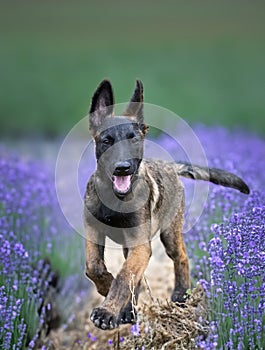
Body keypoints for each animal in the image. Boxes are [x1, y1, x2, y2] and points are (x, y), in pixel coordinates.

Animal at [83, 80, 249, 330]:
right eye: (107, 141)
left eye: (133, 139)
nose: (122, 168)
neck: (115, 199)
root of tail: (170, 165)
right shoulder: (93, 230)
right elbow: (94, 266)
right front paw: (106, 288)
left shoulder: (141, 245)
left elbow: (124, 277)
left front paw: (107, 310)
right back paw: (129, 310)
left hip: (169, 234)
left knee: (182, 257)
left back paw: (180, 295)